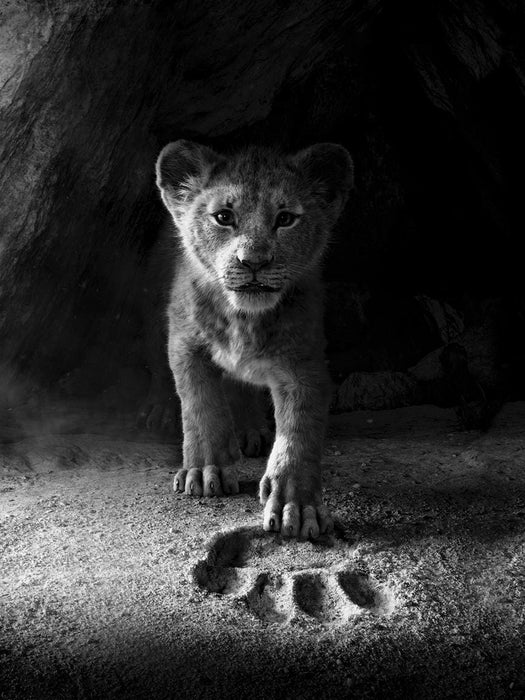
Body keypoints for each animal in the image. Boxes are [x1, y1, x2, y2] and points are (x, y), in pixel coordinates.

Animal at [155, 140, 353, 539]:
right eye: (223, 217)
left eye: (286, 218)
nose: (254, 262)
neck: (243, 319)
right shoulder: (185, 344)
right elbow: (201, 405)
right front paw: (205, 470)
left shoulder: (304, 364)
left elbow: (299, 432)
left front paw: (297, 505)